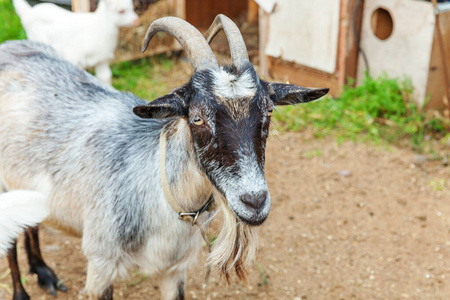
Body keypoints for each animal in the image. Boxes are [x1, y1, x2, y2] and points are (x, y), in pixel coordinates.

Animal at [0, 15, 326, 300]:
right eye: (196, 118)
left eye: (269, 110)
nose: (255, 201)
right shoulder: (101, 264)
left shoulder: (174, 270)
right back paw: (23, 291)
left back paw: (43, 272)